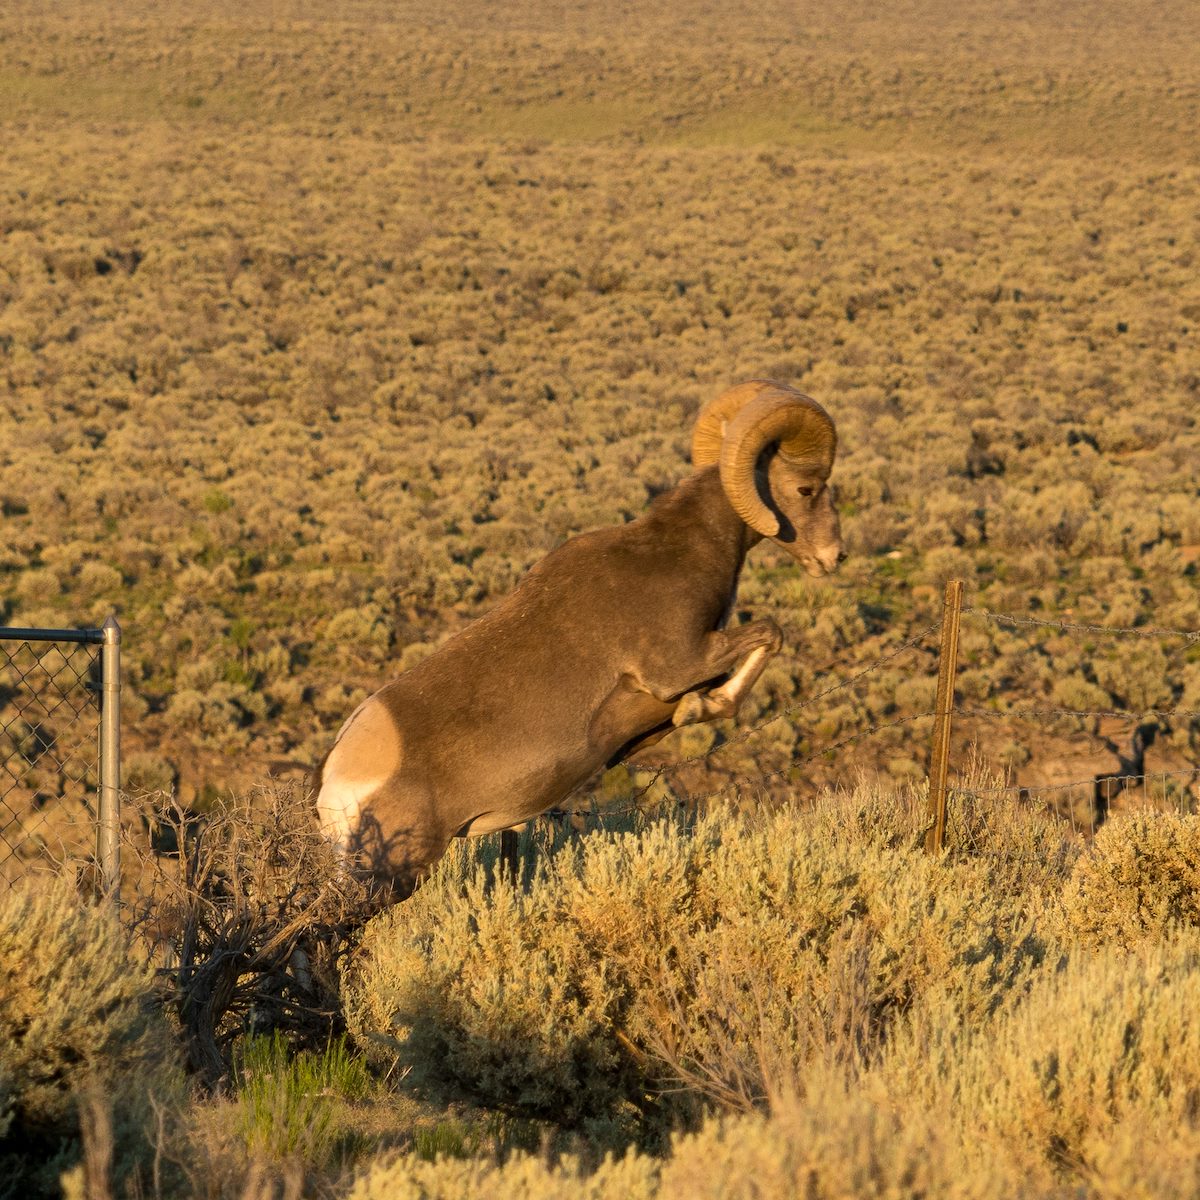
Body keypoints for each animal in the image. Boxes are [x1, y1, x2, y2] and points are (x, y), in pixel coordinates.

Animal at [316, 379, 844, 897]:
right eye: (806, 488)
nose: (833, 556)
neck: (681, 549)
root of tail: (335, 790)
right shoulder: (678, 664)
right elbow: (766, 640)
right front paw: (696, 709)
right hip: (390, 877)